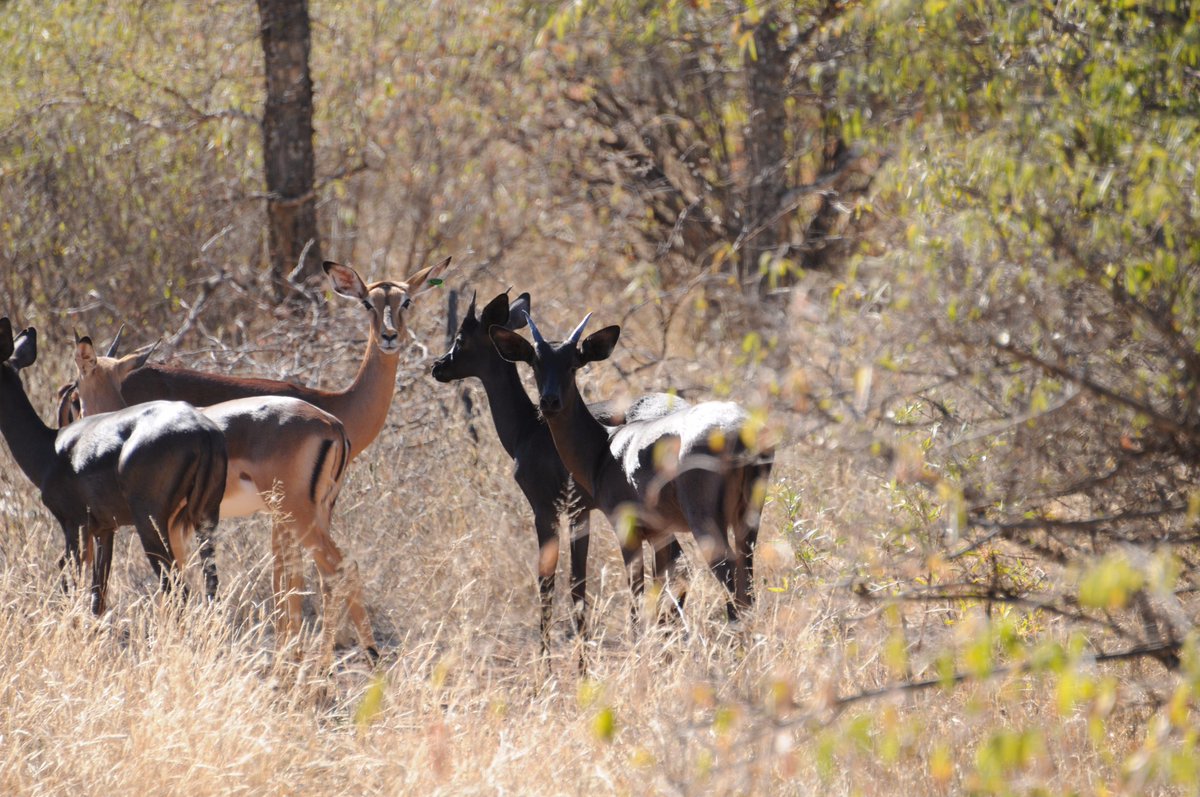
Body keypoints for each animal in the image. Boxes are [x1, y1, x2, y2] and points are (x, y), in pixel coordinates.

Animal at [0, 319, 227, 615]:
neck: (50, 450)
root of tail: (204, 433)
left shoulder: (74, 524)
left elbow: (70, 585)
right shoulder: (106, 529)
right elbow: (98, 597)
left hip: (151, 524)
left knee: (179, 592)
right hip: (204, 519)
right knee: (211, 591)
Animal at [67, 334, 375, 664]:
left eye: (76, 389)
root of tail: (333, 424)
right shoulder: (177, 527)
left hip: (297, 515)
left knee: (339, 570)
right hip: (315, 514)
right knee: (322, 577)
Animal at [432, 291, 690, 646]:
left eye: (460, 338)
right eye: (535, 362)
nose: (438, 366)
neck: (528, 430)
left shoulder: (549, 509)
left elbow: (550, 583)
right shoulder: (581, 512)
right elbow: (576, 583)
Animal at [490, 313, 773, 623]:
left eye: (573, 364)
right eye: (535, 362)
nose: (549, 401)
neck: (604, 449)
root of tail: (741, 434)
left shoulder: (625, 529)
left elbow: (636, 599)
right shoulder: (660, 534)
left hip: (706, 523)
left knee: (731, 580)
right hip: (748, 522)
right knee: (746, 583)